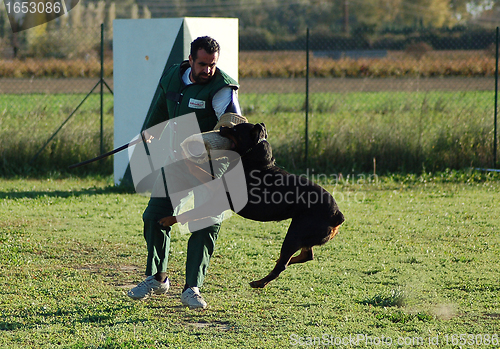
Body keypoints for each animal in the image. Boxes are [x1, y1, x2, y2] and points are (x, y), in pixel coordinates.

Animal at [160, 123, 344, 286]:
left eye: (235, 129)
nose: (222, 127)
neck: (254, 162)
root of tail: (337, 215)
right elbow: (199, 172)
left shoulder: (218, 202)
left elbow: (190, 212)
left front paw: (167, 220)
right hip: (303, 234)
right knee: (306, 255)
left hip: (295, 234)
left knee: (283, 265)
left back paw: (259, 282)